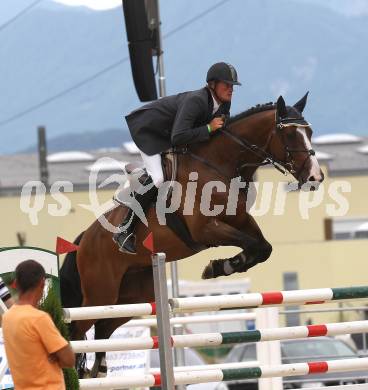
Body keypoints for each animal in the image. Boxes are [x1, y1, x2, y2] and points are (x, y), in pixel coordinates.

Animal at [61, 93, 324, 376]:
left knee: (103, 329)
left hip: (131, 297)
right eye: (290, 135)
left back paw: (97, 371)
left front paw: (224, 266)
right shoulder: (205, 230)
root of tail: (84, 239)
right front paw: (218, 267)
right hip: (100, 292)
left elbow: (263, 247)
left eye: (310, 132)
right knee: (77, 329)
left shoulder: (242, 220)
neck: (220, 165)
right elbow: (251, 243)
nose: (315, 177)